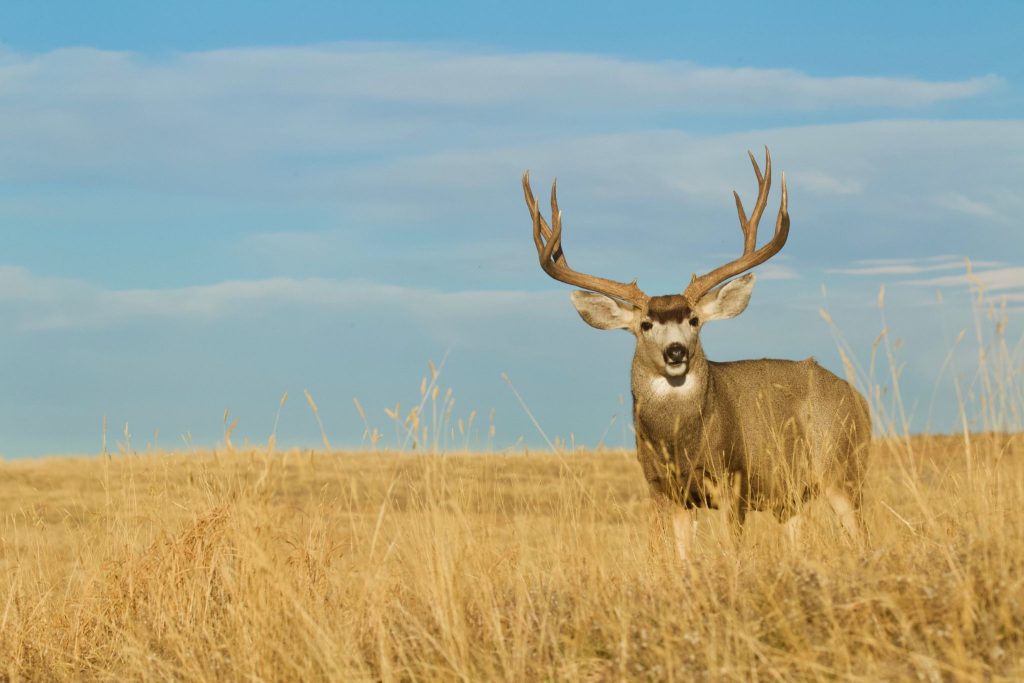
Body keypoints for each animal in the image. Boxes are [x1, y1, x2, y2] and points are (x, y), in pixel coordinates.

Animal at [522, 148, 871, 559]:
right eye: (645, 324)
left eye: (693, 320)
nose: (676, 351)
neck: (679, 443)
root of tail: (859, 400)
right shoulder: (663, 488)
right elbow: (681, 557)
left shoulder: (733, 479)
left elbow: (734, 551)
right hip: (791, 498)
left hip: (843, 471)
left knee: (862, 536)